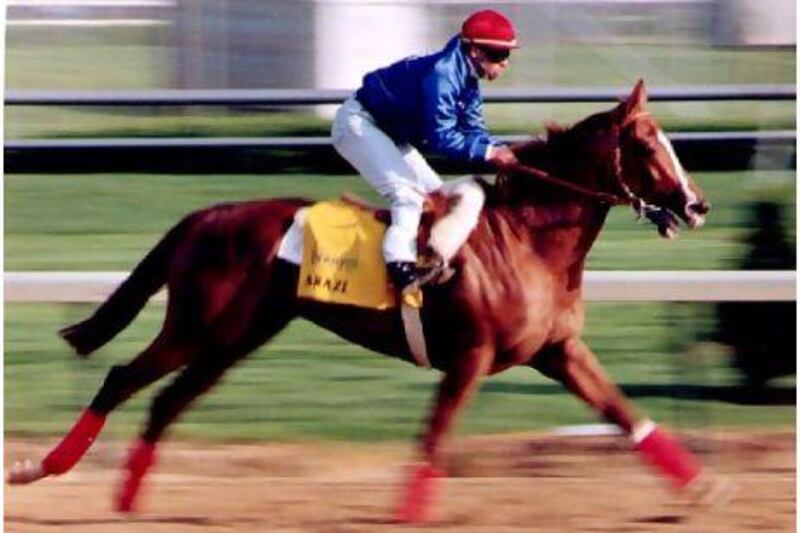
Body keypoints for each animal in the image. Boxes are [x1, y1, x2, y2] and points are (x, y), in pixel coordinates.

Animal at [7, 80, 720, 520]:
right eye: (648, 145)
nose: (696, 205)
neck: (527, 238)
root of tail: (206, 215)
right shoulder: (471, 357)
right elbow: (434, 438)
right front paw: (407, 514)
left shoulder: (559, 351)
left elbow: (625, 412)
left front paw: (701, 487)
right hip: (198, 327)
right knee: (122, 378)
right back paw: (42, 469)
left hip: (233, 340)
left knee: (163, 402)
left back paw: (128, 502)